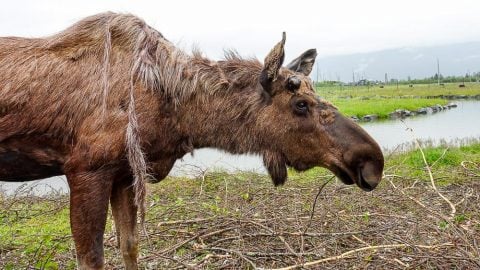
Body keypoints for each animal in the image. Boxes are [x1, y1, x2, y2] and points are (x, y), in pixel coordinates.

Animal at [0, 13, 382, 270]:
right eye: (301, 104)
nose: (372, 159)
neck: (175, 114)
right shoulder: (85, 170)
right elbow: (92, 258)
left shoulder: (124, 174)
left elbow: (130, 245)